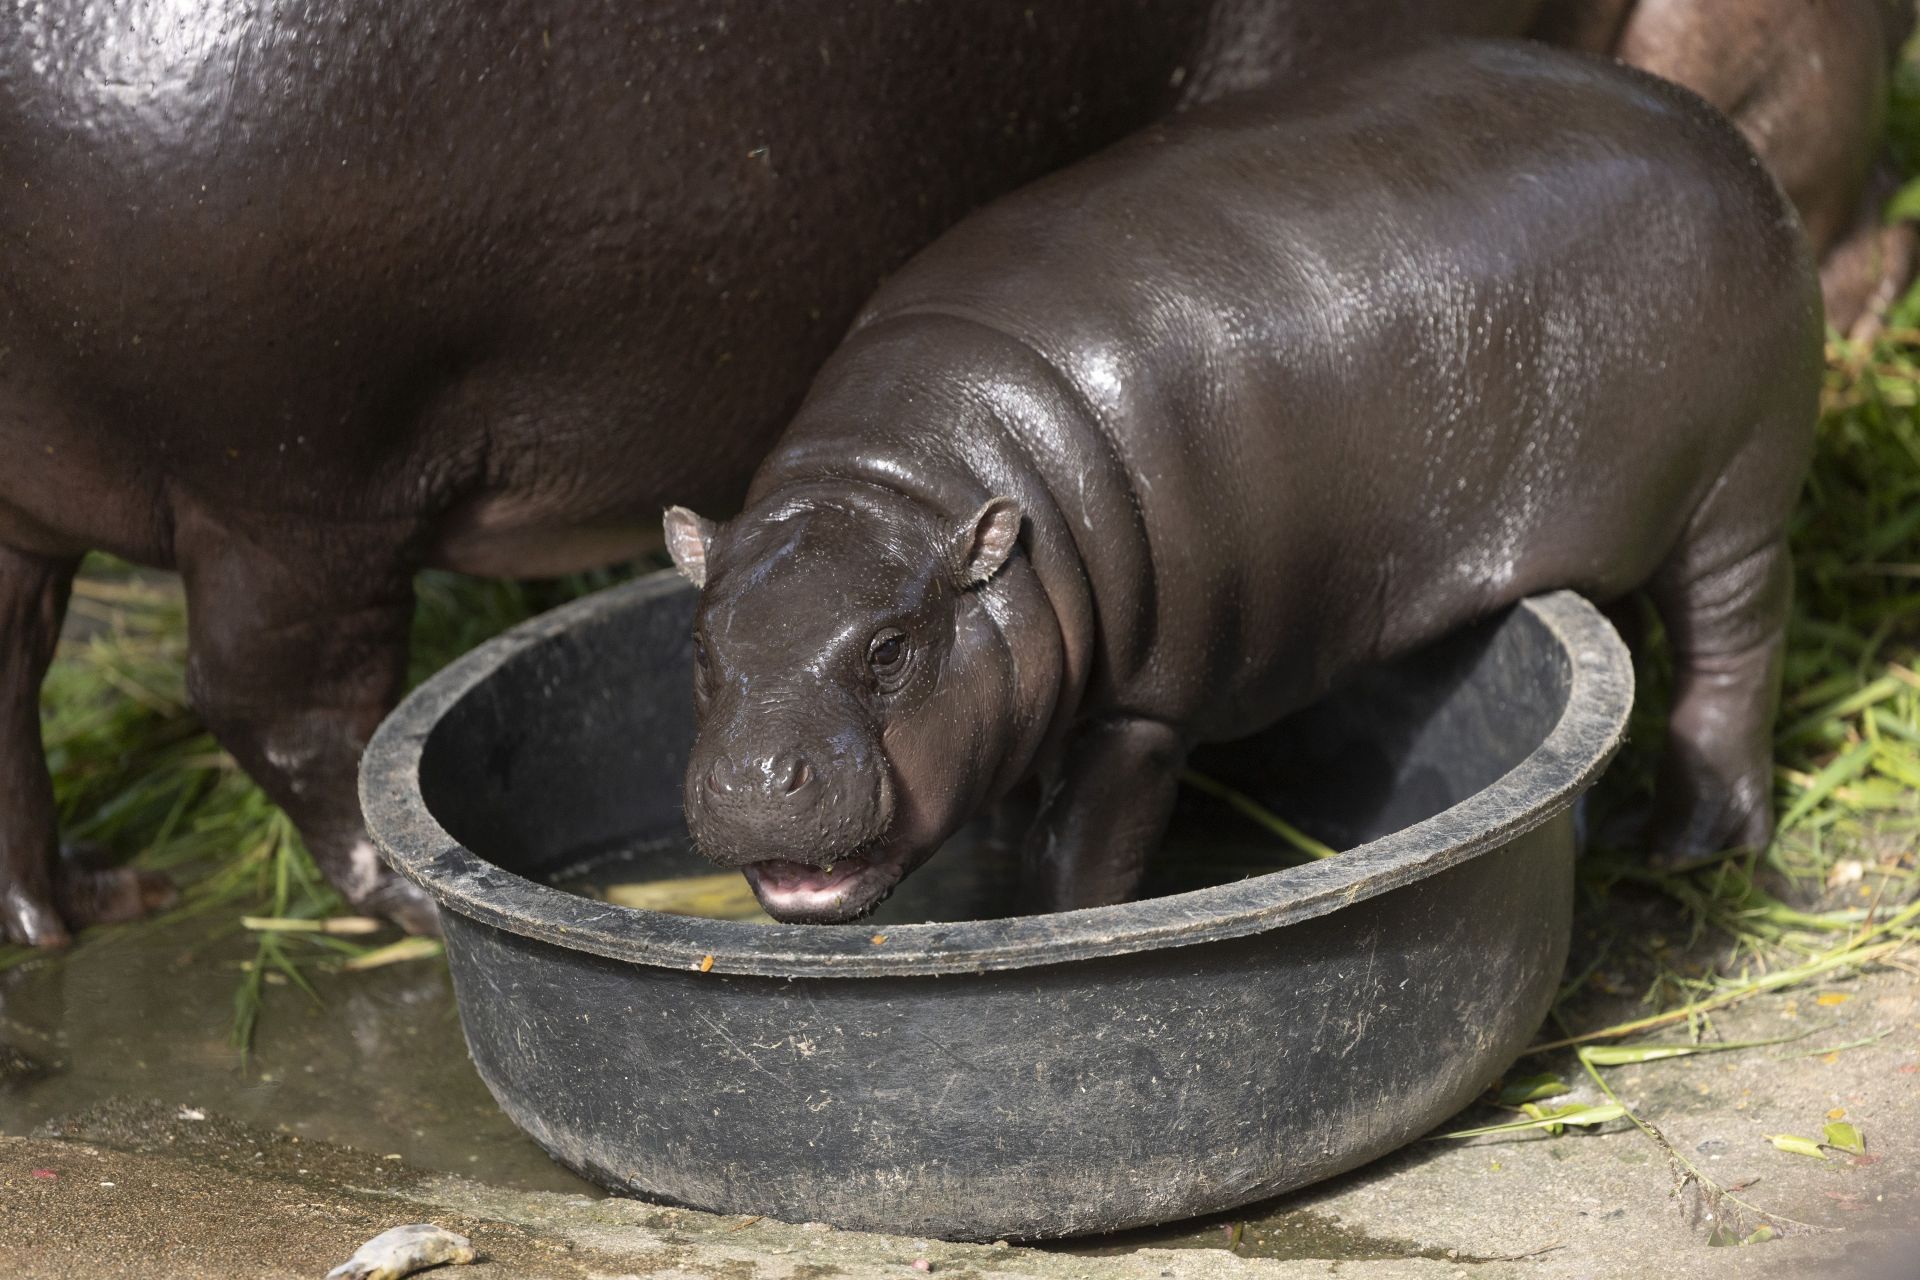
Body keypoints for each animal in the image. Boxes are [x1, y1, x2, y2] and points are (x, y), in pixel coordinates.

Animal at [668, 37, 1820, 921]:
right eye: (701, 648)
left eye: (890, 649)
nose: (751, 778)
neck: (906, 482)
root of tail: (1721, 135)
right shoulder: (1009, 667)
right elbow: (1000, 803)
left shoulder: (1142, 711)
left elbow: (1079, 851)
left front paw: (1050, 925)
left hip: (1739, 493)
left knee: (1734, 649)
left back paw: (1689, 841)